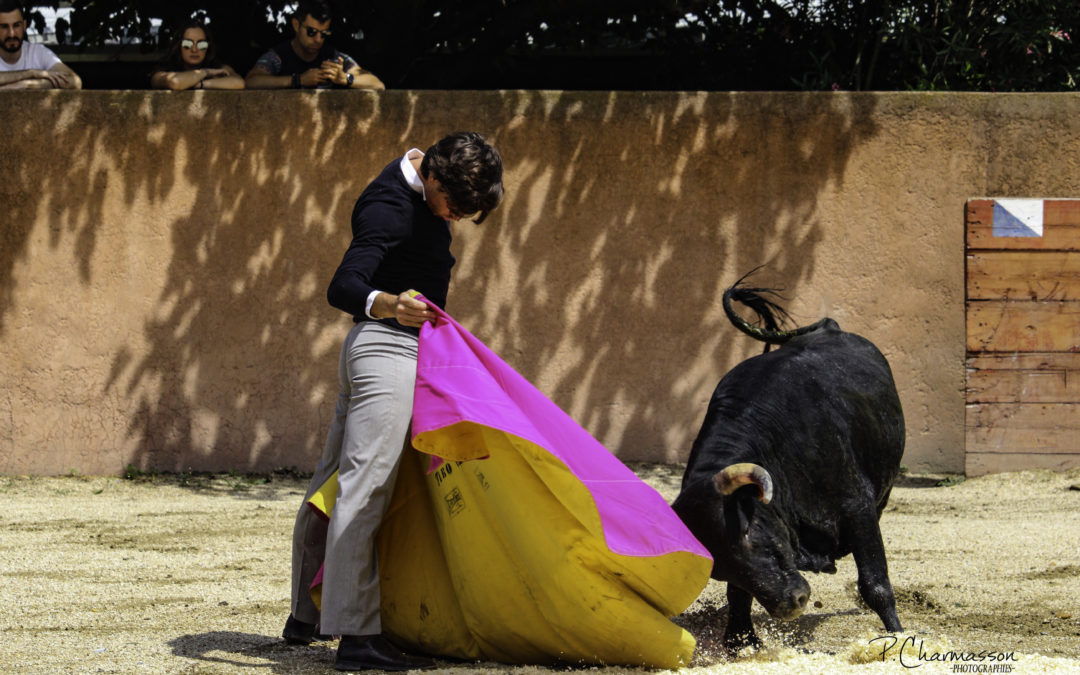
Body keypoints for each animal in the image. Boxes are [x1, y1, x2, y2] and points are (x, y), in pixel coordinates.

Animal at [673, 280, 902, 652]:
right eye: (717, 567)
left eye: (748, 533)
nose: (792, 604)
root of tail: (831, 328)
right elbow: (738, 593)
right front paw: (741, 638)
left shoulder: (858, 507)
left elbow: (875, 582)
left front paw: (899, 635)